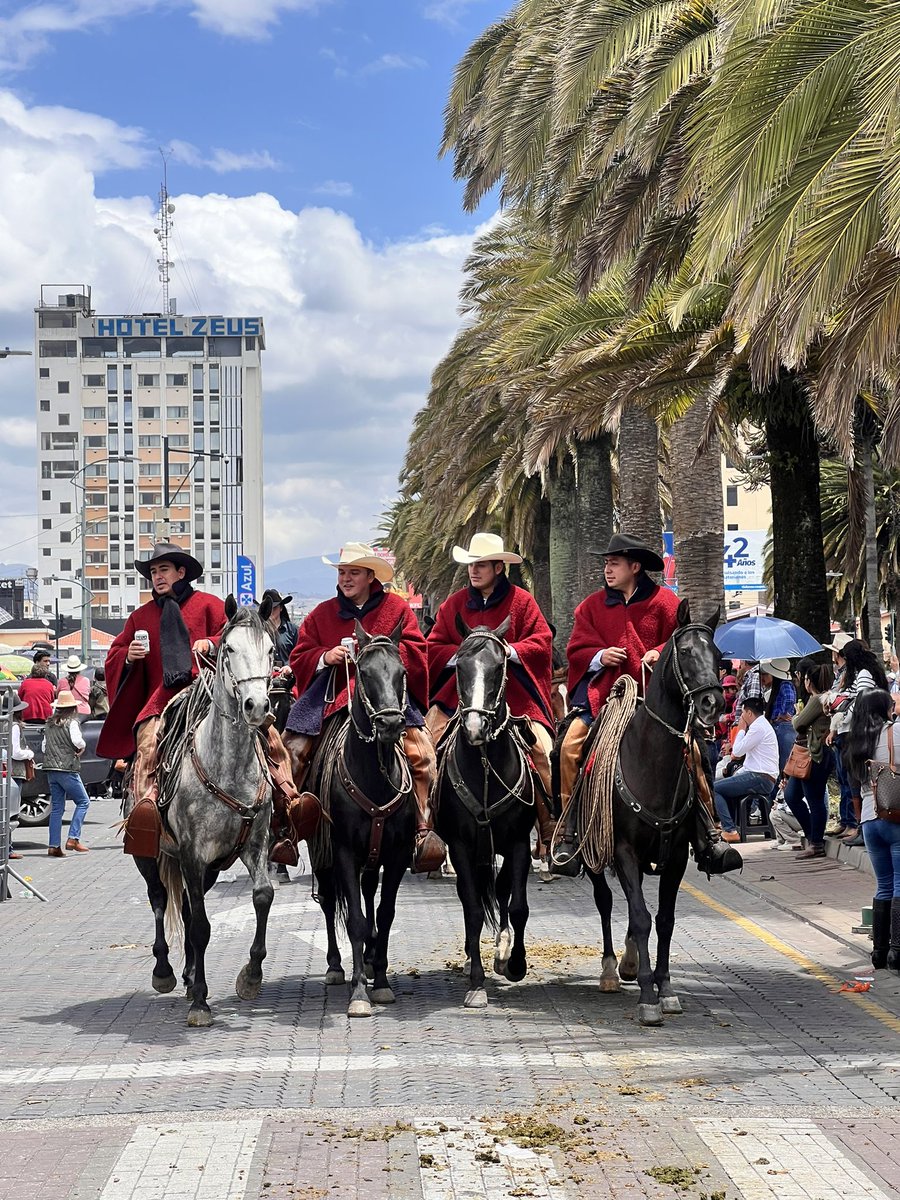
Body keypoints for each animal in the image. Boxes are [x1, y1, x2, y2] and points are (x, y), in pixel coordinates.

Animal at [136, 595, 274, 1027]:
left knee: (185, 906)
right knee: (160, 899)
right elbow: (199, 926)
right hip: (153, 854)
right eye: (229, 649)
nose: (256, 705)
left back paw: (190, 974)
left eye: (270, 650)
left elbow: (262, 896)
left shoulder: (253, 844)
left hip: (209, 867)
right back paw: (166, 971)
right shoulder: (192, 852)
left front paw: (251, 975)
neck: (228, 769)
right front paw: (200, 1002)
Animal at [307, 624, 412, 1017]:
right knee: (328, 901)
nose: (390, 723)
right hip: (321, 854)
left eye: (401, 672)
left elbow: (384, 914)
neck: (374, 777)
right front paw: (359, 993)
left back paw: (368, 959)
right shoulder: (343, 852)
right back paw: (337, 966)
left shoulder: (397, 854)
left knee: (368, 893)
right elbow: (354, 921)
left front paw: (379, 980)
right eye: (364, 674)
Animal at [436, 614, 542, 1008]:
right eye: (459, 667)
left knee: (502, 890)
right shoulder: (461, 847)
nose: (475, 727)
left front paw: (515, 963)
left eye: (499, 667)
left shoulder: (518, 844)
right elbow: (472, 909)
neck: (484, 768)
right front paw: (477, 982)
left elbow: (518, 905)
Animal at [578, 604, 724, 1027]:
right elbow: (642, 917)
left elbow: (664, 920)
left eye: (719, 655)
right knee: (607, 902)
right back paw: (612, 969)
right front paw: (647, 997)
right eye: (686, 652)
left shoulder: (675, 857)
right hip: (595, 854)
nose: (712, 704)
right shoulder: (623, 851)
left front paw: (667, 989)